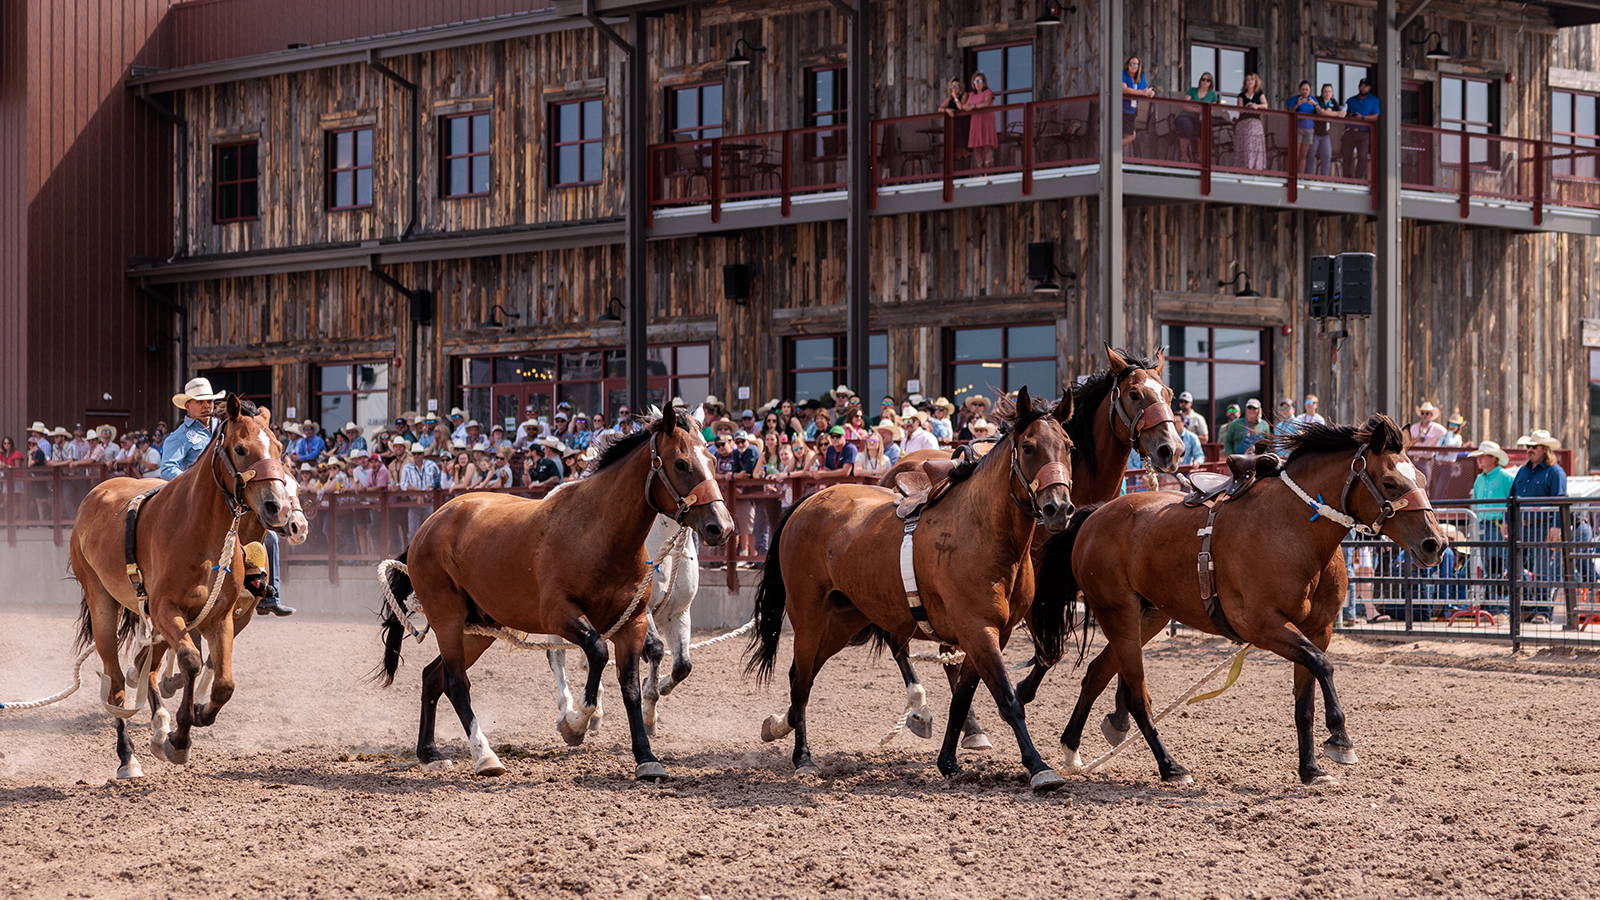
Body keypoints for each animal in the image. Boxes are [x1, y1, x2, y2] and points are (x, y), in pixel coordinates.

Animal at [68, 395, 307, 775]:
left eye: (280, 448)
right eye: (240, 448)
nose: (280, 510)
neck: (202, 534)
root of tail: (97, 493)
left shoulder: (221, 617)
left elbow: (223, 682)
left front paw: (196, 715)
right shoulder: (167, 610)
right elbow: (191, 661)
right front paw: (180, 739)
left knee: (144, 666)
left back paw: (157, 727)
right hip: (102, 602)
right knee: (116, 684)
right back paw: (128, 757)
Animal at [374, 408, 732, 778]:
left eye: (713, 460)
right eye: (681, 463)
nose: (721, 526)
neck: (597, 532)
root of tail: (429, 526)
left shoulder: (633, 622)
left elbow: (631, 686)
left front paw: (646, 756)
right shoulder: (560, 615)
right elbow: (598, 653)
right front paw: (576, 723)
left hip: (477, 628)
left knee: (433, 677)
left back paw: (429, 751)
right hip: (447, 619)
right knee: (456, 682)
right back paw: (485, 756)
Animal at [745, 385, 1075, 784]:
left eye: (1068, 446)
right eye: (1028, 447)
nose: (1058, 508)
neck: (983, 531)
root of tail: (809, 500)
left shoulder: (990, 635)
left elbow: (962, 698)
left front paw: (949, 762)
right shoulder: (979, 631)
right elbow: (1008, 700)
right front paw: (1038, 766)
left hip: (842, 621)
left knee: (801, 677)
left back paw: (780, 725)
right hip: (809, 618)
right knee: (802, 682)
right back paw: (803, 757)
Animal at [870, 344, 1184, 749]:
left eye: (1169, 395)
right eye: (1134, 394)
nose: (1171, 450)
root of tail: (897, 469)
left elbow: (1124, 647)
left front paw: (1119, 715)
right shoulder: (1040, 592)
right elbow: (1051, 653)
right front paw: (1021, 692)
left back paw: (969, 726)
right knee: (905, 643)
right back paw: (932, 714)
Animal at [1030, 413, 1446, 784]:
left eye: (1423, 479)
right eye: (1390, 482)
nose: (1435, 544)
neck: (1296, 530)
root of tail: (1096, 514)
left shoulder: (1318, 630)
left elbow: (1306, 702)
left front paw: (1311, 770)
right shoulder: (1266, 626)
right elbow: (1322, 666)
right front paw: (1340, 740)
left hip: (1148, 616)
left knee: (1097, 673)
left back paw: (1071, 749)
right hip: (1118, 615)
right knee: (1136, 696)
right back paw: (1170, 767)